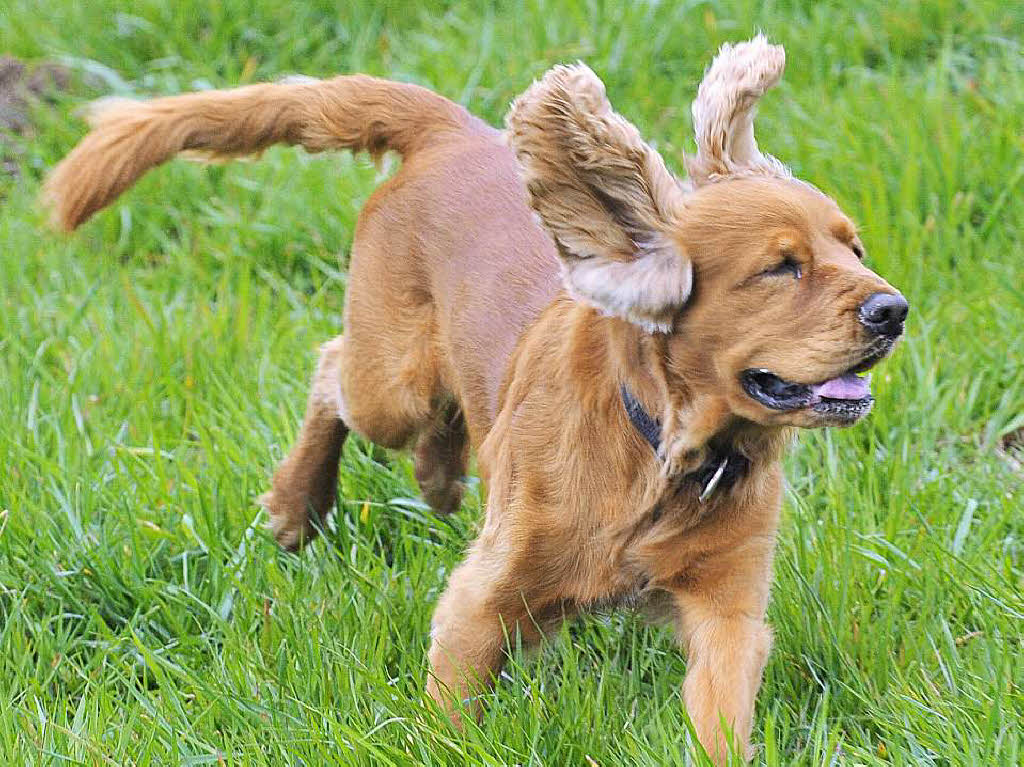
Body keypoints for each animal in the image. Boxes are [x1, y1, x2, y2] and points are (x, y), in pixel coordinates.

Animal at [44, 35, 905, 761]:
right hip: (391, 384)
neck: (662, 452)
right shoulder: (482, 594)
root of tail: (451, 127)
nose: (892, 310)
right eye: (782, 267)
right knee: (333, 369)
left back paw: (438, 475)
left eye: (854, 248)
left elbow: (722, 704)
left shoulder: (728, 607)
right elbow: (452, 703)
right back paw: (298, 503)